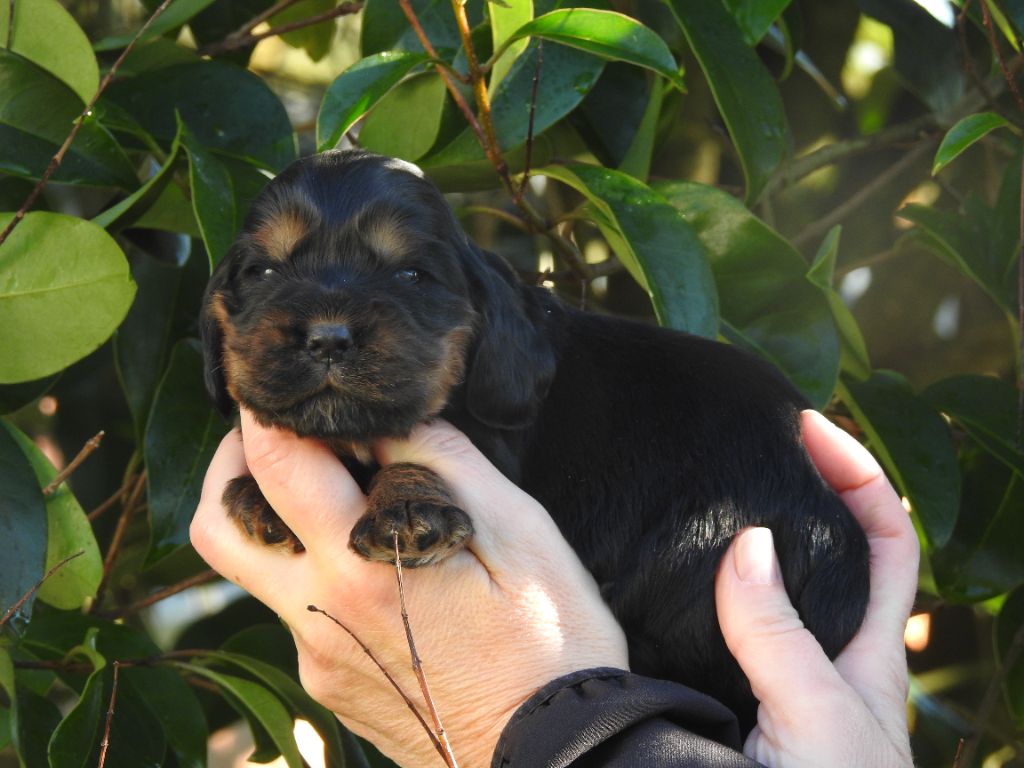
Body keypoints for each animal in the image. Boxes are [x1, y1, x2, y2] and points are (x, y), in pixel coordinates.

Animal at [201, 150, 872, 733]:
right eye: (264, 272)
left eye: (411, 275)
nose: (328, 337)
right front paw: (261, 498)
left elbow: (406, 465)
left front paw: (408, 512)